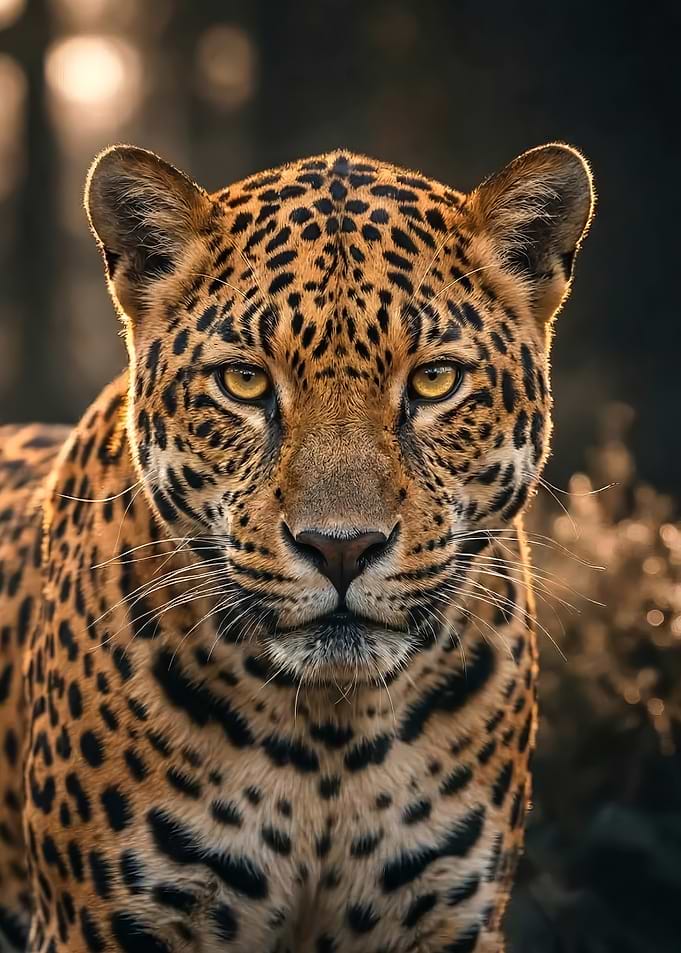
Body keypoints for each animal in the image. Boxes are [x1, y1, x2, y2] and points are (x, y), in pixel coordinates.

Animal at [0, 141, 593, 952]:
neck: (328, 741)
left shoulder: (449, 917)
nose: (340, 548)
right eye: (245, 382)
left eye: (435, 380)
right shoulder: (98, 923)